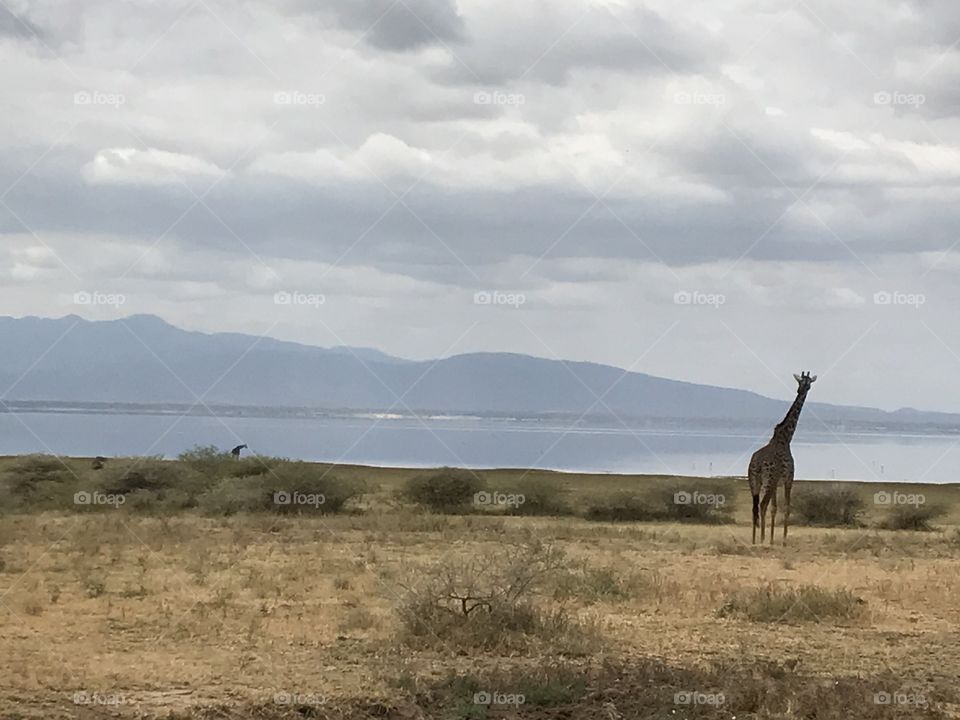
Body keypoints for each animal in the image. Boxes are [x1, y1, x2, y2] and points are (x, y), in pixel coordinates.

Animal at [752, 374, 816, 544]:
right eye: (806, 383)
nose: (802, 389)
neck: (786, 438)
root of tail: (757, 464)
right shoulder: (789, 479)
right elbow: (787, 507)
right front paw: (783, 539)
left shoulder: (777, 484)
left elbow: (774, 509)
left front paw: (772, 538)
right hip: (769, 480)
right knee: (762, 504)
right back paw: (761, 539)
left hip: (754, 481)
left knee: (755, 507)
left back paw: (754, 540)